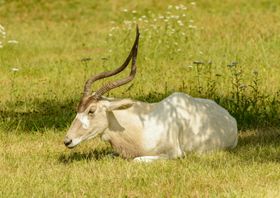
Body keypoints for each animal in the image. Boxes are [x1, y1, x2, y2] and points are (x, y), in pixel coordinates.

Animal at [64, 26, 237, 162]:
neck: (141, 126)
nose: (67, 140)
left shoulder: (173, 154)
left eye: (91, 110)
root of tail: (228, 116)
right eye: (77, 109)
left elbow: (136, 160)